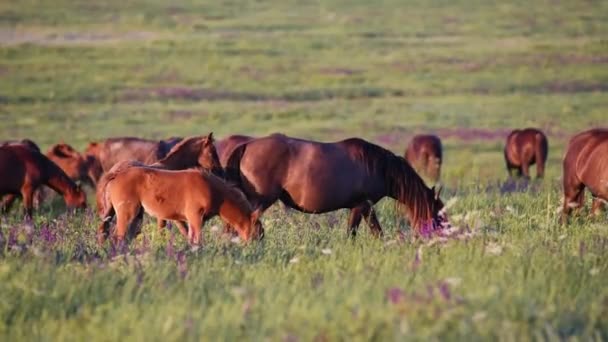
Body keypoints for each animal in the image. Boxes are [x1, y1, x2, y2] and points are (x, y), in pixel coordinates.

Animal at [97, 166, 264, 246]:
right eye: (257, 232)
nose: (256, 249)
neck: (212, 190)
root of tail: (117, 174)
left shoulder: (192, 220)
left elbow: (190, 238)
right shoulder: (195, 217)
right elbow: (197, 240)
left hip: (129, 215)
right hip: (128, 214)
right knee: (119, 237)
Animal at [226, 132, 448, 236]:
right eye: (438, 215)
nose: (444, 236)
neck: (377, 167)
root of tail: (247, 146)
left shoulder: (361, 208)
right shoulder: (362, 206)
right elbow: (359, 234)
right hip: (260, 201)